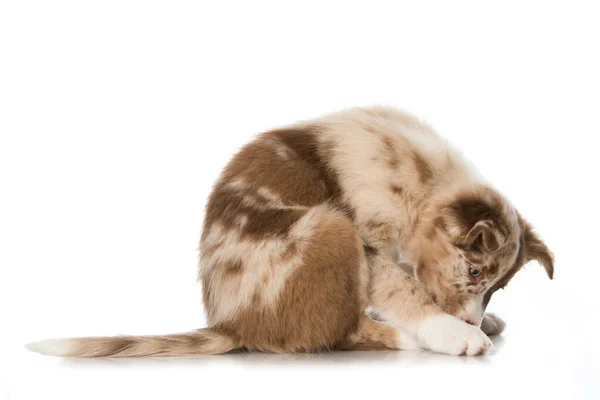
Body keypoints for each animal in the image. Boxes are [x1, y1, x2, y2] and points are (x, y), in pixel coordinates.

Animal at [27, 106, 552, 356]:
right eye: (473, 271)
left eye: (496, 285)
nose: (471, 321)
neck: (424, 184)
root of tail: (232, 324)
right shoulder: (369, 239)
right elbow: (403, 287)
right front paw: (452, 332)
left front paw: (483, 320)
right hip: (330, 227)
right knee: (336, 334)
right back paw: (403, 337)